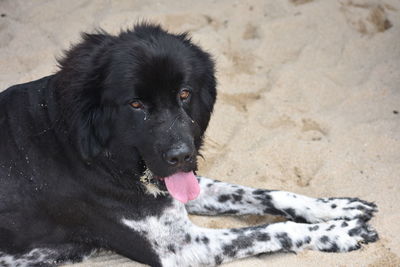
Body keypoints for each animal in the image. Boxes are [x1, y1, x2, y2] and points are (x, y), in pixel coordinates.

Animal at [0, 24, 376, 266]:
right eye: (135, 104)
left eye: (184, 94)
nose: (183, 156)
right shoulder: (180, 248)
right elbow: (269, 230)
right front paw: (336, 232)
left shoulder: (179, 188)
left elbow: (266, 193)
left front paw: (336, 208)